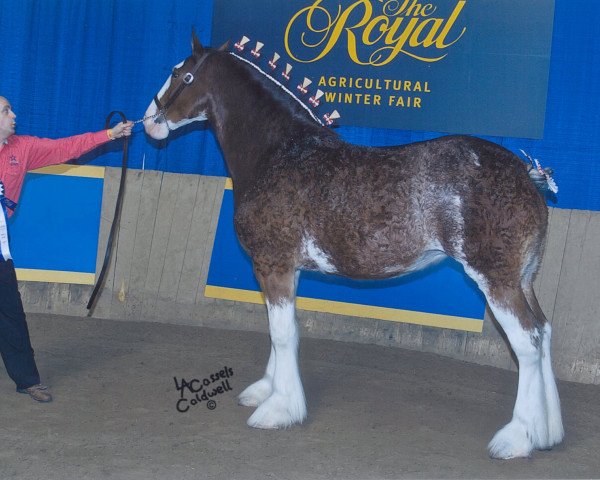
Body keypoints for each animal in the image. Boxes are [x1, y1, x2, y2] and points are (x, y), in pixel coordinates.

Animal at [144, 31, 564, 460]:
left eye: (181, 74)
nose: (148, 122)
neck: (278, 152)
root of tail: (525, 174)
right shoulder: (285, 269)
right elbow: (280, 331)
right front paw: (267, 390)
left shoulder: (272, 263)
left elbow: (282, 333)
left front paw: (278, 409)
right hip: (524, 280)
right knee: (544, 332)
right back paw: (547, 432)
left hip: (497, 282)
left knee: (528, 342)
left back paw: (517, 437)